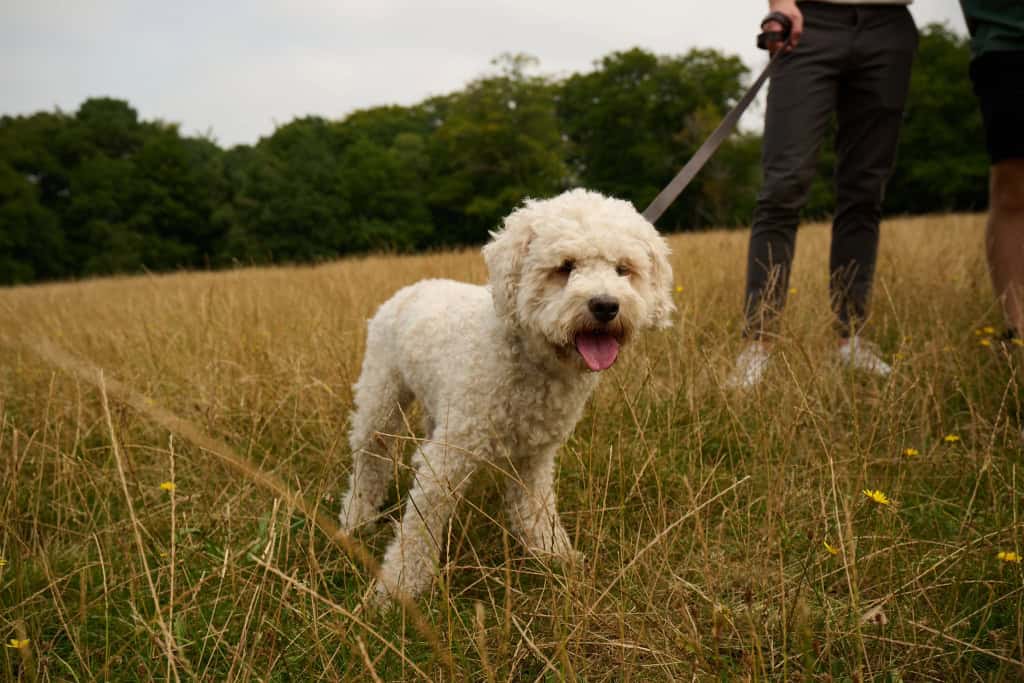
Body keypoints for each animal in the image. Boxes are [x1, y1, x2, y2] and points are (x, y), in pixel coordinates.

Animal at [339, 189, 675, 602]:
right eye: (565, 267)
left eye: (623, 269)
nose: (606, 305)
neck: (528, 359)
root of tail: (413, 287)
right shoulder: (448, 458)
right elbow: (419, 528)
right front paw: (399, 589)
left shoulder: (534, 458)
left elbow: (536, 511)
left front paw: (554, 557)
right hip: (381, 400)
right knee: (369, 462)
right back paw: (355, 520)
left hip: (435, 410)